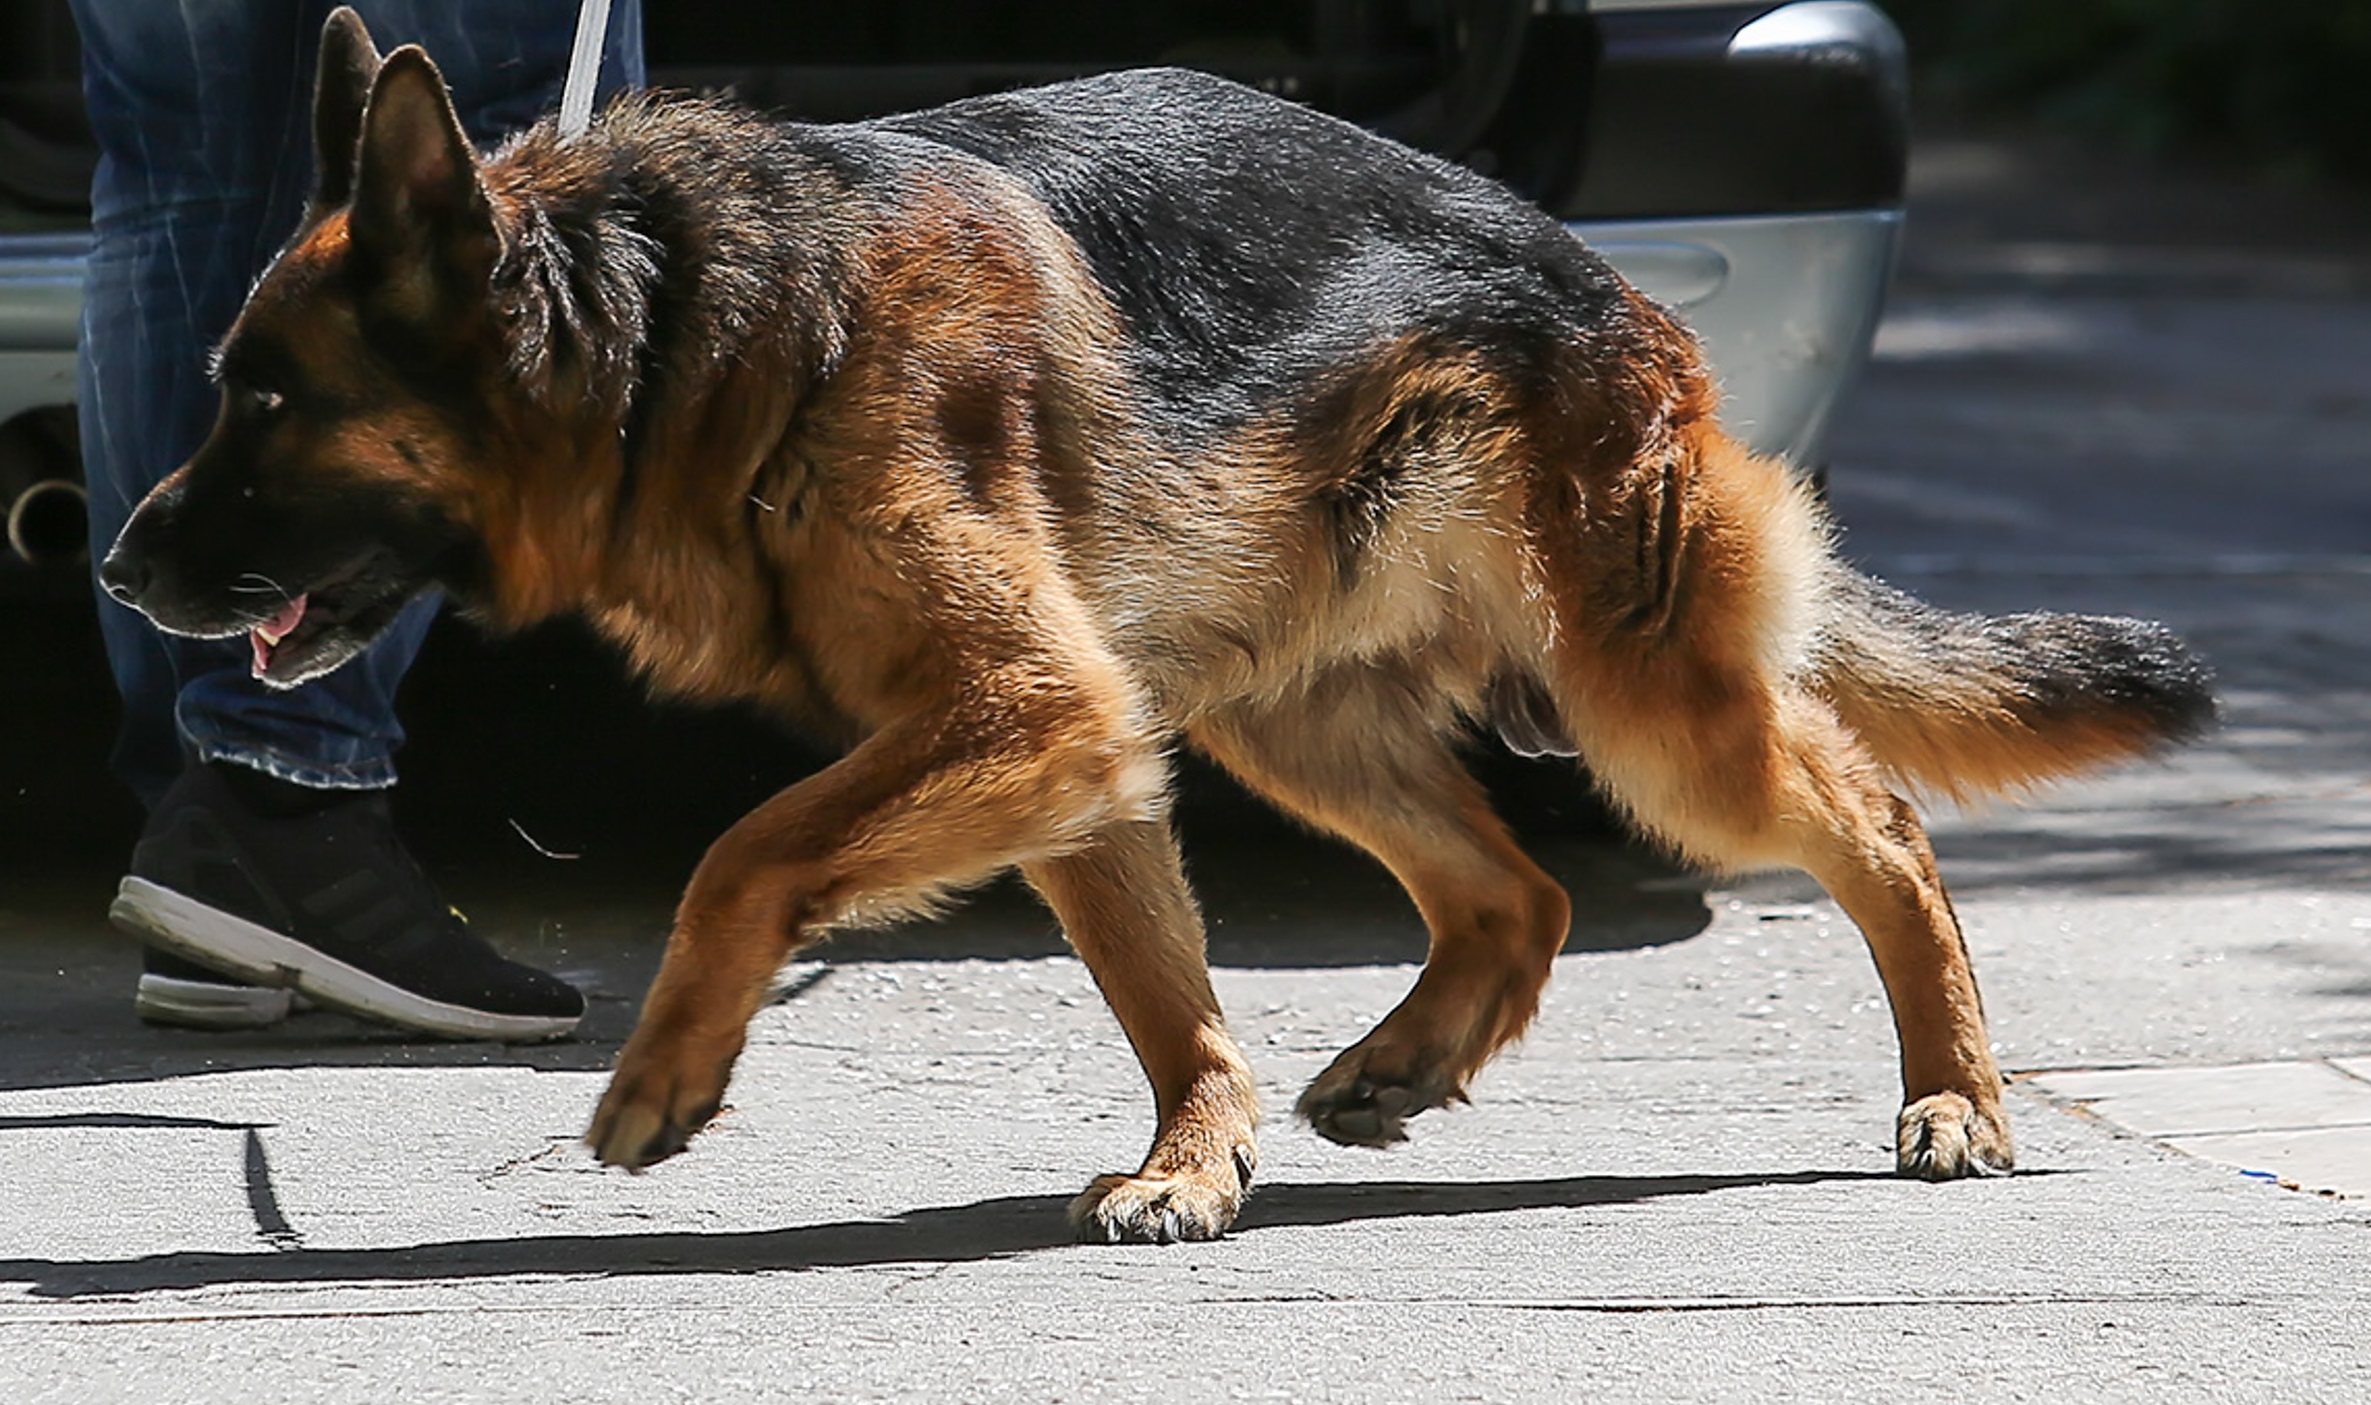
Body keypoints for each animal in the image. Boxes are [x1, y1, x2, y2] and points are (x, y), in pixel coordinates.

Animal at [101, 10, 2209, 1241]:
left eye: (264, 401)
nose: (118, 570)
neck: (695, 326)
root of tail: (1606, 292)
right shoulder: (1078, 741)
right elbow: (1166, 997)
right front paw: (1200, 1160)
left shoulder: (1023, 712)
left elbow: (742, 855)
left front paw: (668, 1072)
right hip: (1288, 719)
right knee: (1516, 890)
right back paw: (1405, 1061)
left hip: (1647, 715)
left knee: (1880, 828)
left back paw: (1956, 1100)